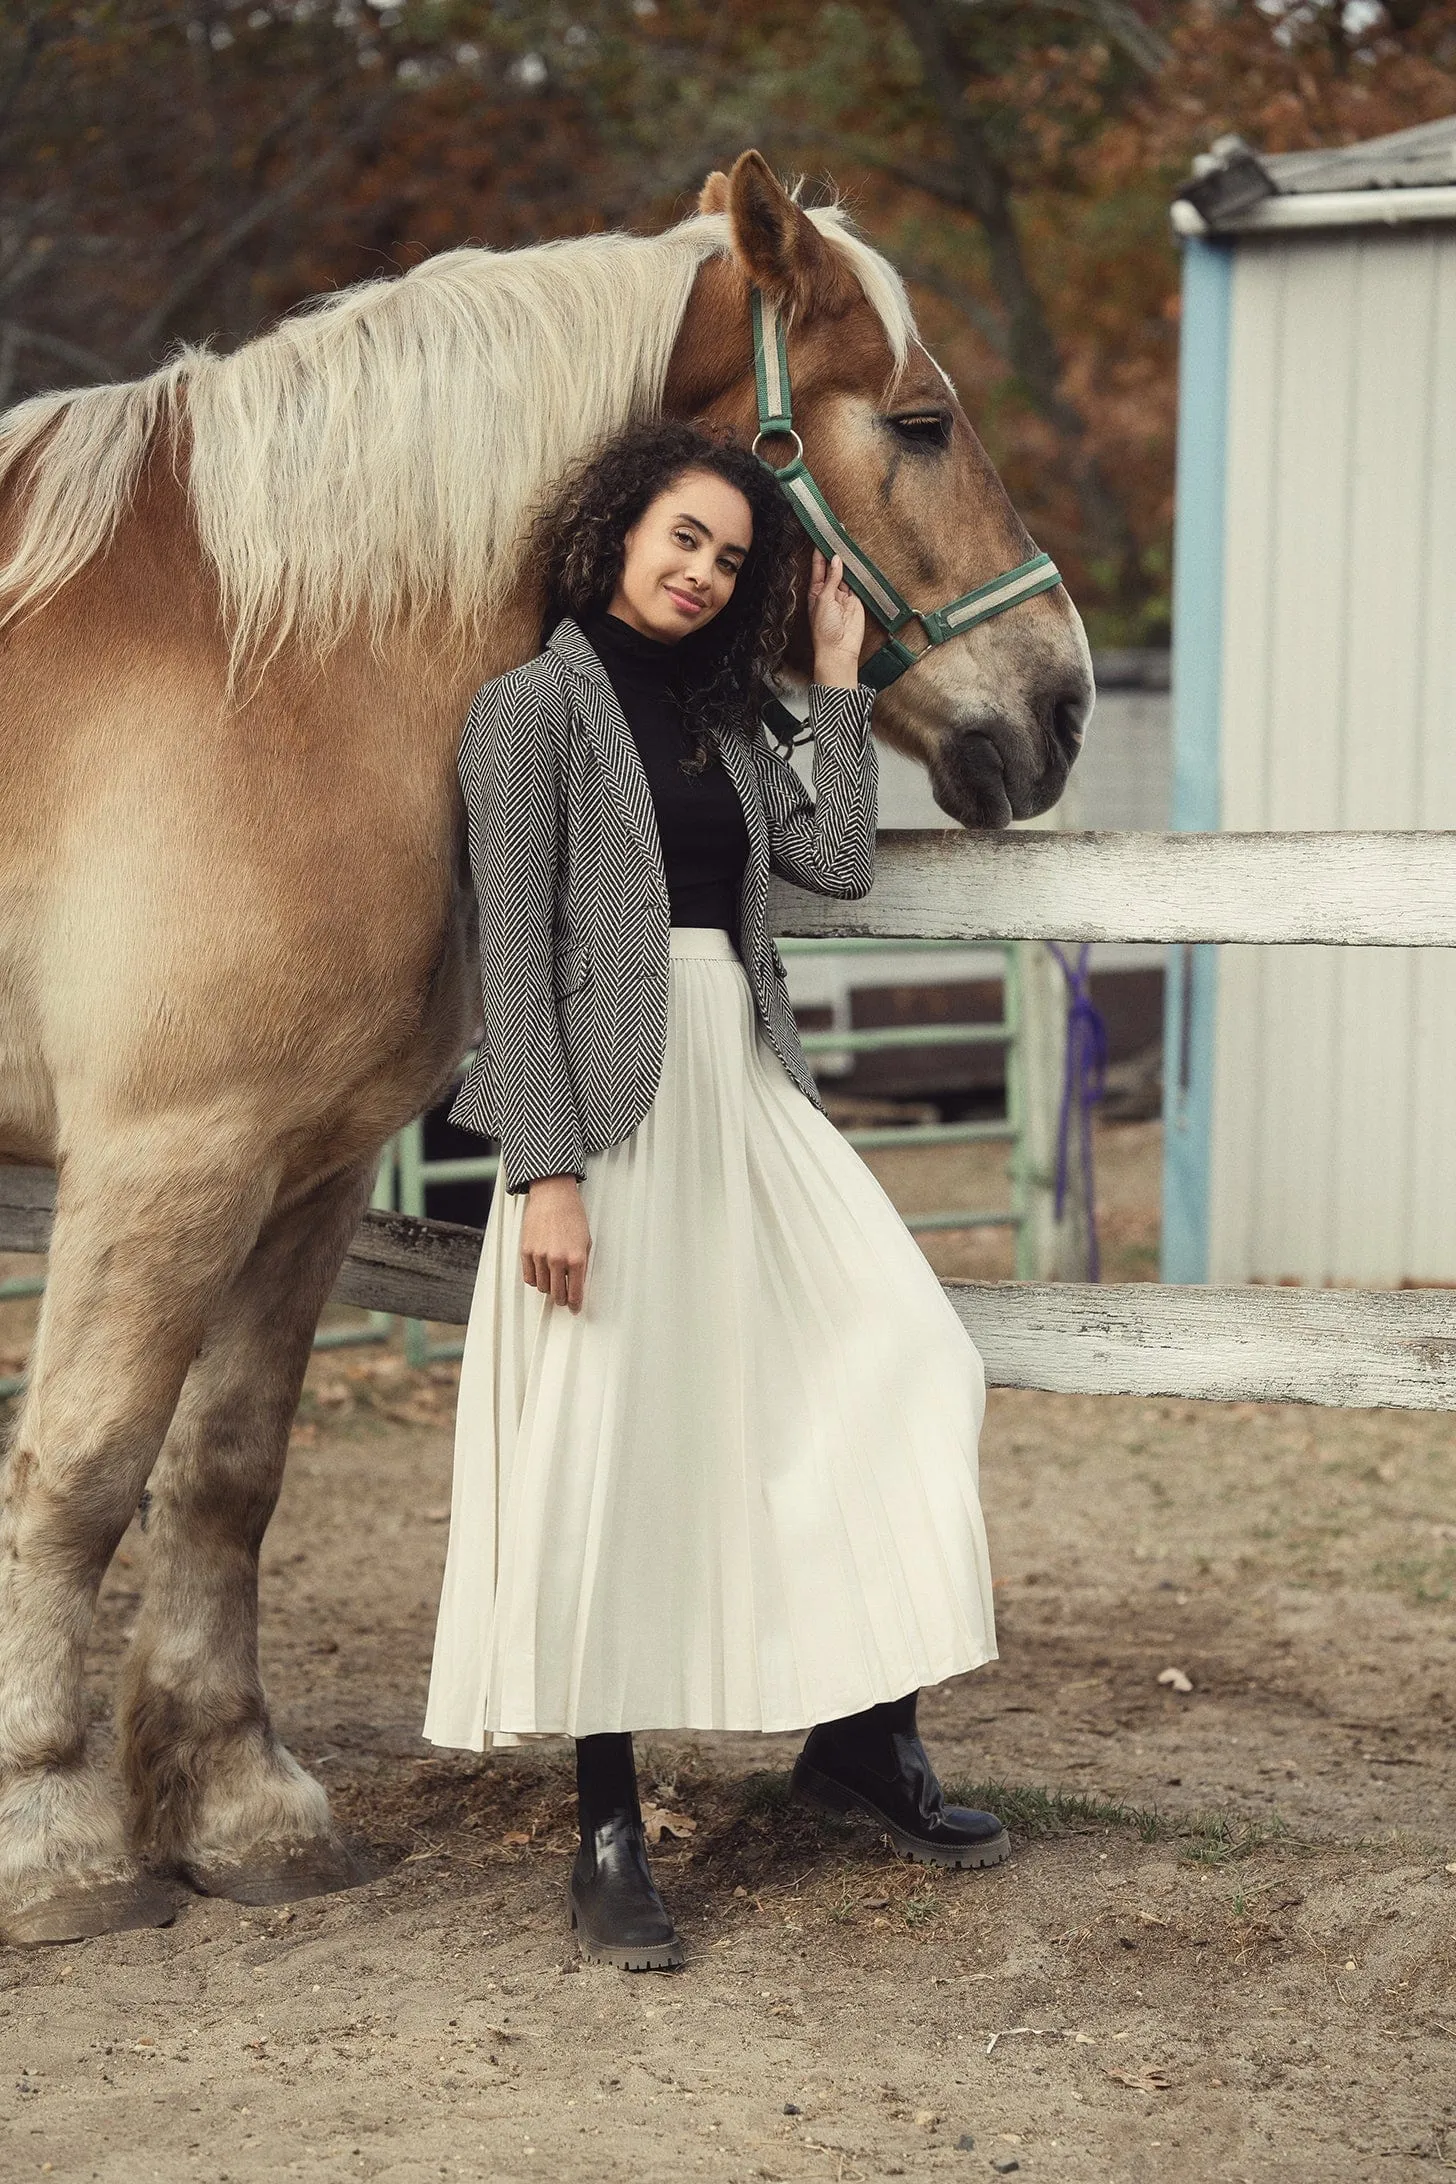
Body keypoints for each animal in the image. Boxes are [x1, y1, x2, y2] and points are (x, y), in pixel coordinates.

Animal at [0, 145, 1091, 1939]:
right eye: (923, 421)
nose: (1062, 705)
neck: (261, 670)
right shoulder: (165, 1163)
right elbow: (80, 1472)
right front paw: (54, 1840)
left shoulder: (297, 1169)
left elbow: (225, 1468)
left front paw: (243, 1812)